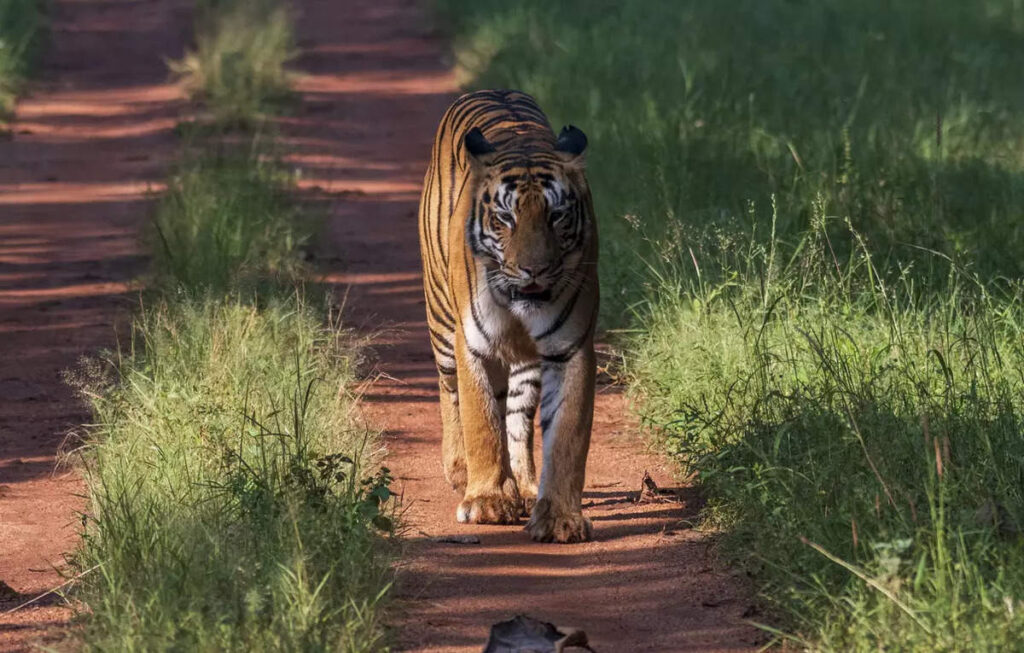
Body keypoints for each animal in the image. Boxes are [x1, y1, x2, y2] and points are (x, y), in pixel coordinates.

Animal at [413, 89, 598, 544]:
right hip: (442, 324)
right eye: (505, 218)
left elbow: (567, 435)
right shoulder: (473, 345)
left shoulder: (570, 347)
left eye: (556, 215)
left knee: (516, 415)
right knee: (450, 391)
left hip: (525, 363)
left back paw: (526, 486)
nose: (533, 269)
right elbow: (481, 421)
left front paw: (560, 518)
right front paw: (486, 501)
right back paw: (462, 472)